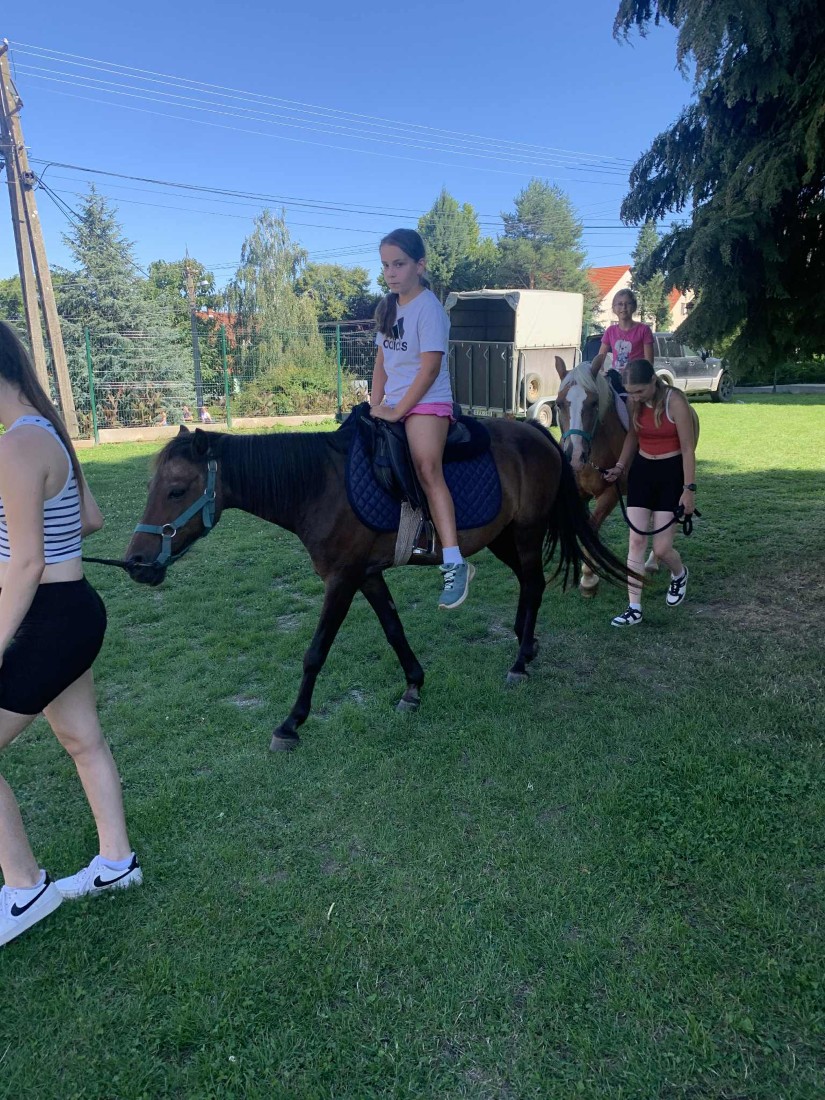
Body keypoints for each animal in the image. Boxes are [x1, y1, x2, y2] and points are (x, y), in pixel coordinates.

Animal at [124, 418, 631, 751]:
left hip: (524, 534)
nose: (135, 562)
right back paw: (526, 644)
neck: (318, 486)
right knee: (529, 585)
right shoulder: (367, 576)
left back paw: (521, 661)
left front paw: (291, 724)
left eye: (176, 490)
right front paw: (413, 687)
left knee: (535, 584)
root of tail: (537, 431)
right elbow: (393, 630)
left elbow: (315, 653)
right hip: (502, 537)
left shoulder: (342, 580)